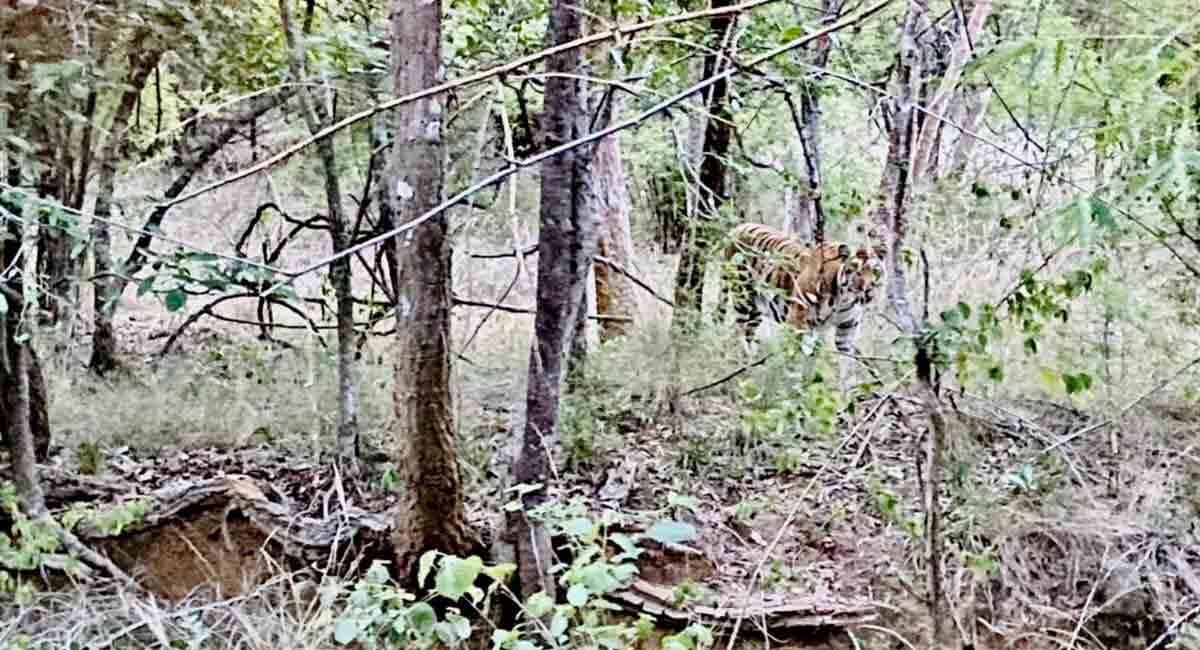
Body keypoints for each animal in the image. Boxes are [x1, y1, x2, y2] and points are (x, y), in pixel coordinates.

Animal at [720, 222, 885, 387]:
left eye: (875, 271)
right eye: (856, 271)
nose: (867, 290)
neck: (844, 299)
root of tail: (739, 227)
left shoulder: (847, 327)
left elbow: (846, 362)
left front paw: (846, 390)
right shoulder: (797, 319)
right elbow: (797, 357)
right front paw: (794, 385)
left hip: (756, 310)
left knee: (748, 334)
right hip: (742, 298)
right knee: (738, 334)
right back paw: (742, 370)